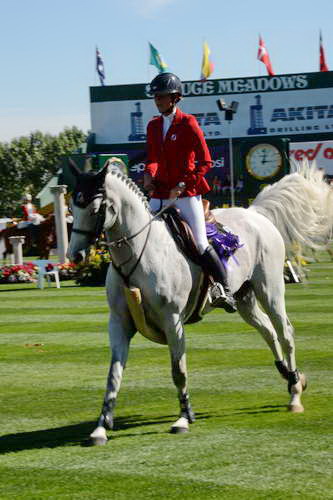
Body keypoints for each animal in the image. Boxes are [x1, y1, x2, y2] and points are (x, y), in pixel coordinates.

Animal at [67, 161, 332, 446]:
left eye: (95, 209)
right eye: (71, 208)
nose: (75, 256)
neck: (138, 254)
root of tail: (255, 213)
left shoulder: (172, 321)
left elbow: (178, 370)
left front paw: (184, 418)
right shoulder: (119, 323)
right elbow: (113, 375)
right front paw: (101, 427)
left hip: (269, 291)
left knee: (285, 333)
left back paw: (294, 392)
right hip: (245, 299)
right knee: (268, 332)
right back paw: (290, 376)